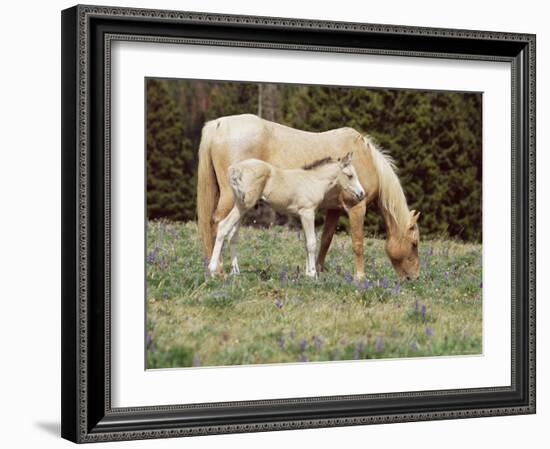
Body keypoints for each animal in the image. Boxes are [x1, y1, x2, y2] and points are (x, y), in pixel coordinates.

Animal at [209, 152, 364, 276]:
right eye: (350, 175)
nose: (361, 194)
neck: (313, 181)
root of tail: (236, 168)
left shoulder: (302, 215)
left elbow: (305, 243)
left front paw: (307, 273)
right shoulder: (308, 213)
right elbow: (312, 242)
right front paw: (313, 274)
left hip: (242, 207)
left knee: (233, 235)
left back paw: (235, 272)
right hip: (243, 206)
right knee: (223, 227)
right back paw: (212, 269)